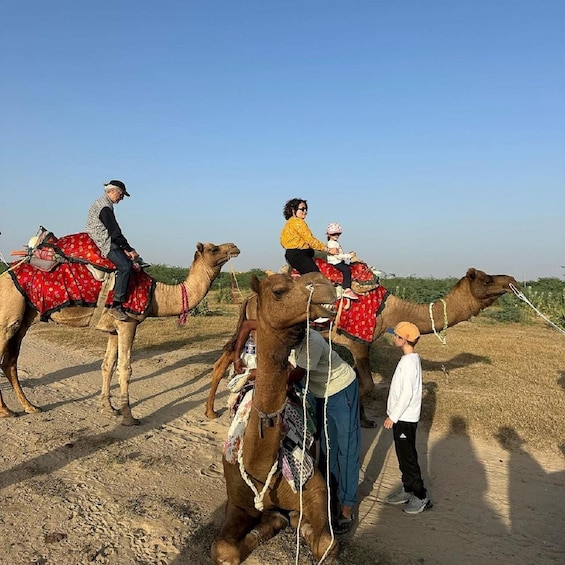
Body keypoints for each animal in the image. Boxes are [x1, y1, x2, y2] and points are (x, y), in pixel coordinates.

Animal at [0, 240, 239, 426]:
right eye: (214, 249)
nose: (235, 247)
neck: (156, 295)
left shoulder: (114, 329)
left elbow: (107, 365)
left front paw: (109, 408)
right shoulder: (128, 323)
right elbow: (125, 368)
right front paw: (129, 417)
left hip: (25, 317)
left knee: (10, 361)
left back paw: (30, 406)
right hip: (8, 317)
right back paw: (7, 411)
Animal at [209, 270, 338, 560]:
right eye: (278, 290)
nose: (325, 284)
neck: (260, 464)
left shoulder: (314, 488)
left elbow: (327, 543)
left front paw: (309, 531)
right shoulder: (237, 500)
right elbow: (222, 548)